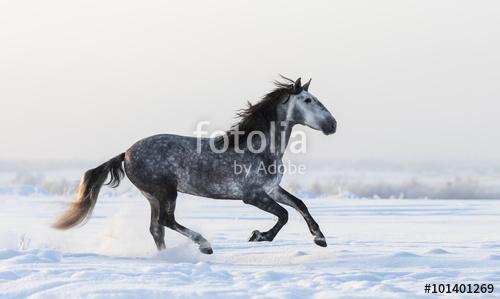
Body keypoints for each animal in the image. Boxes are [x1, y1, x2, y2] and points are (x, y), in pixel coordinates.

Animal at [53, 77, 336, 255]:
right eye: (308, 100)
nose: (332, 125)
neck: (259, 148)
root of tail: (126, 153)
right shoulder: (252, 196)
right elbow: (284, 215)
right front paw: (258, 235)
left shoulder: (272, 189)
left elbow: (299, 205)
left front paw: (320, 238)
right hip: (165, 191)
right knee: (166, 220)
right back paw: (205, 245)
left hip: (152, 196)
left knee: (156, 228)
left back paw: (168, 257)